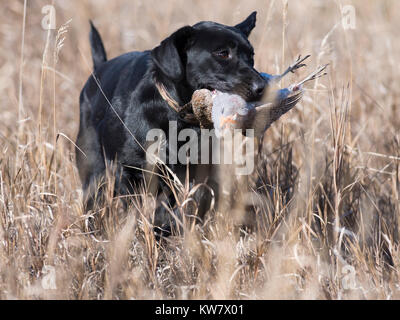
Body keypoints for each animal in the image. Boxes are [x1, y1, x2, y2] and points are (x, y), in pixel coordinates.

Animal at [76, 11, 268, 232]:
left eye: (251, 56)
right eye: (222, 53)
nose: (262, 87)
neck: (176, 119)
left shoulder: (194, 174)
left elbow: (185, 203)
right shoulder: (126, 171)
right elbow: (136, 209)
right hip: (94, 171)